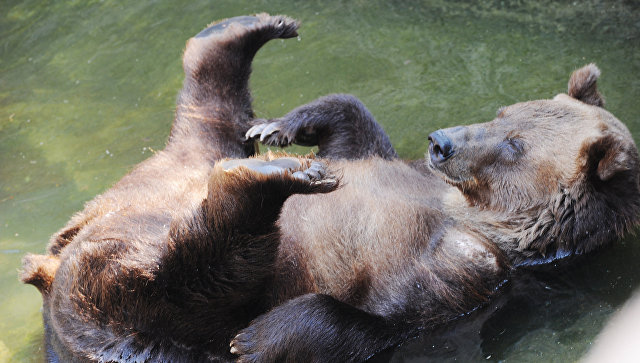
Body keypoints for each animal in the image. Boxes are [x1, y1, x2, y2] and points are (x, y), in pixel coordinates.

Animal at [18, 12, 640, 362]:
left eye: (515, 145)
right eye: (504, 112)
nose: (442, 140)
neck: (472, 213)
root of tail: (48, 268)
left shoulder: (472, 278)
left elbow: (381, 322)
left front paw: (257, 339)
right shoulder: (397, 167)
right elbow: (352, 124)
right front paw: (283, 127)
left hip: (145, 321)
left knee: (191, 271)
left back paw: (273, 180)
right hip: (166, 172)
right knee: (211, 123)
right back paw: (245, 36)